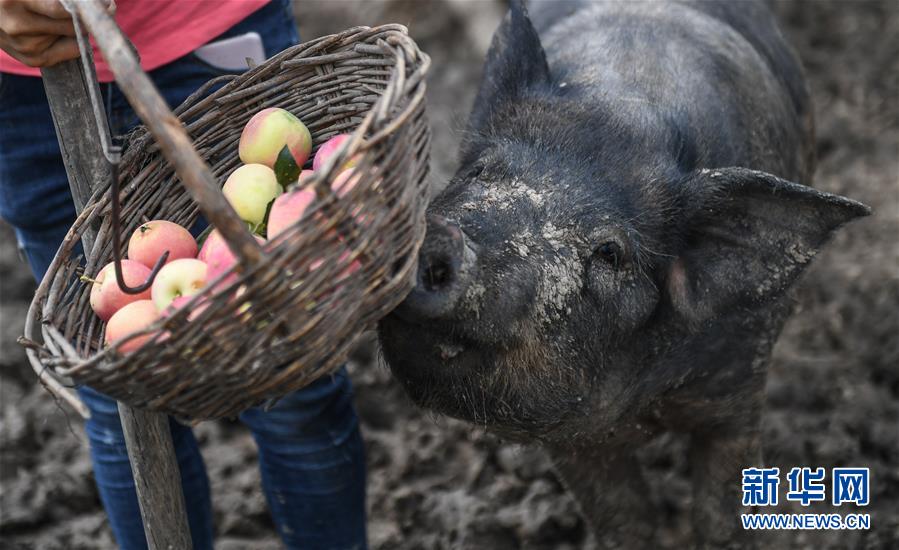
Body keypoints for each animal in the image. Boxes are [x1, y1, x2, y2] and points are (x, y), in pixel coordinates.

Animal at [380, 0, 872, 548]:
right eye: (479, 171)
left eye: (610, 253)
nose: (445, 239)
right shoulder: (570, 441)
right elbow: (622, 518)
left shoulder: (740, 387)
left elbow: (723, 512)